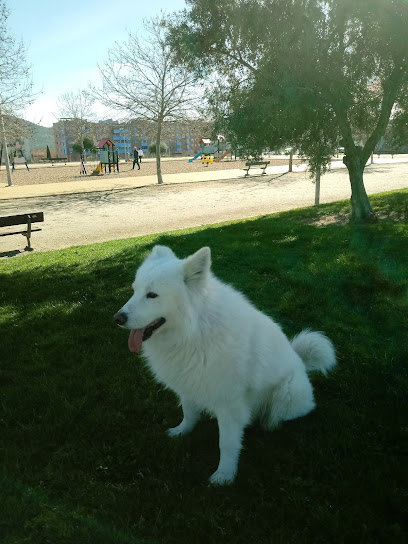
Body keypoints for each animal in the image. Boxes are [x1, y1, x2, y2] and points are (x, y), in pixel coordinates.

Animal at [113, 246, 336, 484]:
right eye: (134, 290)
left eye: (152, 295)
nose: (117, 318)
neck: (194, 332)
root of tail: (301, 361)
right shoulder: (188, 385)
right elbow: (188, 413)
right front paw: (182, 431)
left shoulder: (229, 404)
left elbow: (227, 443)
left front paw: (225, 474)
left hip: (288, 392)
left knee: (281, 414)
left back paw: (270, 423)